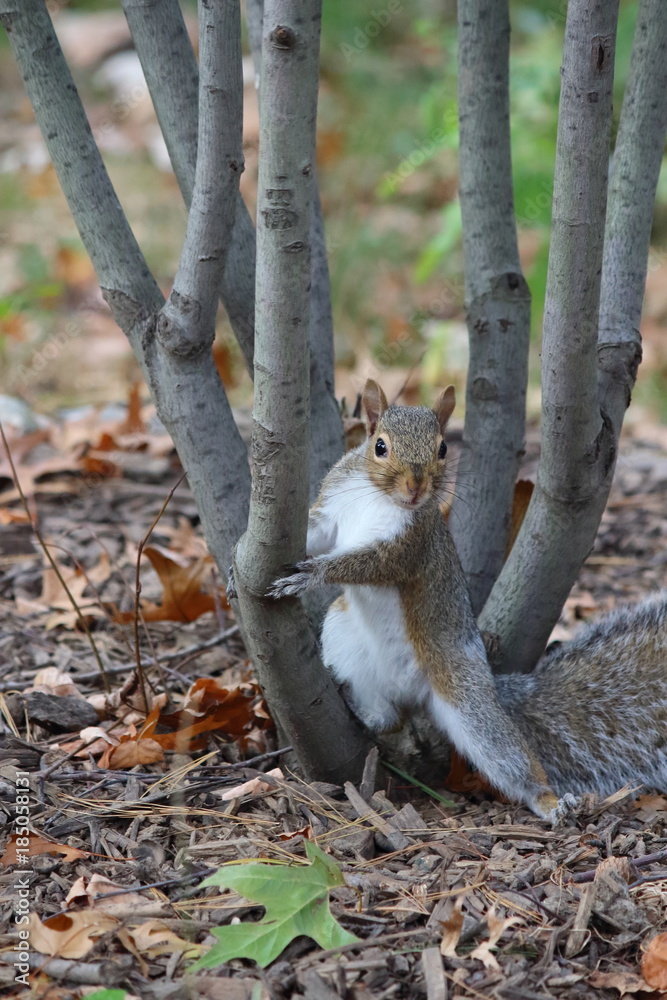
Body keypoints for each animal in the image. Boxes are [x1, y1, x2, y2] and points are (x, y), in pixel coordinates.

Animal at [269, 379, 667, 822]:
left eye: (443, 448)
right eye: (379, 446)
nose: (416, 487)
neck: (377, 497)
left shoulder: (409, 546)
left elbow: (368, 564)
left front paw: (314, 574)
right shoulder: (333, 506)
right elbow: (317, 533)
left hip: (466, 698)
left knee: (507, 756)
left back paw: (550, 803)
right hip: (343, 636)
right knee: (386, 719)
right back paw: (357, 705)